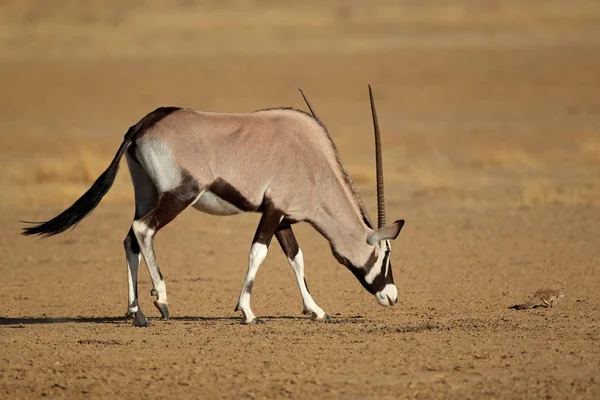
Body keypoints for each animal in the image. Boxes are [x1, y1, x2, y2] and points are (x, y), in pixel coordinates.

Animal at [24, 86, 408, 326]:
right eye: (385, 253)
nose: (392, 296)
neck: (313, 162)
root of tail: (143, 124)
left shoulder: (283, 217)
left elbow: (296, 258)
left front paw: (316, 310)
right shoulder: (273, 211)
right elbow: (258, 253)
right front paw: (248, 312)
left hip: (146, 193)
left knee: (130, 240)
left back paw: (137, 312)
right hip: (181, 194)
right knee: (143, 229)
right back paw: (161, 300)